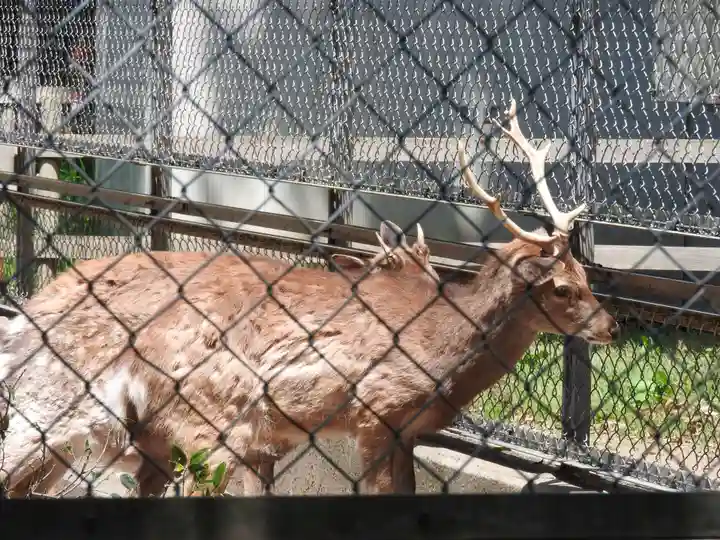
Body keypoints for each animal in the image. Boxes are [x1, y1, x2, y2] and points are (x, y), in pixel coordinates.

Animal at [0, 99, 618, 498]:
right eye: (562, 287)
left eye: (589, 277)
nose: (611, 327)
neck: (441, 347)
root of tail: (30, 314)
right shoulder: (375, 412)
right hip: (116, 410)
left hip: (132, 435)